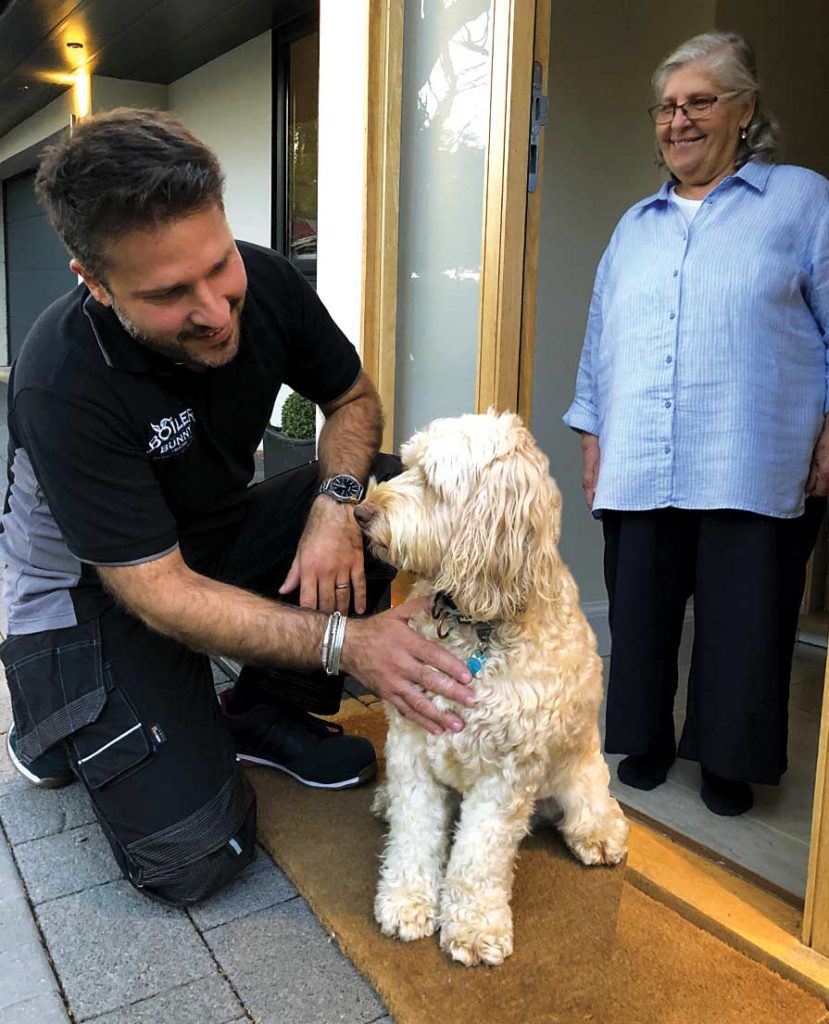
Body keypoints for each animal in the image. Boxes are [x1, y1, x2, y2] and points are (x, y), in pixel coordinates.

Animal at [356, 409, 626, 966]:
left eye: (433, 481)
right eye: (406, 465)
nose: (361, 513)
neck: (473, 624)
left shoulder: (507, 776)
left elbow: (479, 857)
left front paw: (475, 926)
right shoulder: (412, 744)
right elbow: (415, 832)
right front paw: (407, 901)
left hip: (580, 765)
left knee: (594, 802)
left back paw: (599, 834)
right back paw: (385, 801)